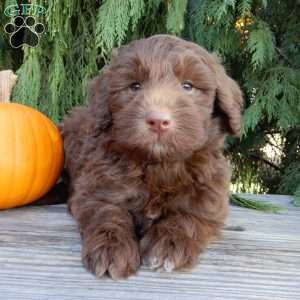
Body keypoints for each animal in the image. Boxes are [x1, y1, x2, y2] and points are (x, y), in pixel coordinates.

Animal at [61, 34, 244, 278]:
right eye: (134, 86)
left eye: (188, 86)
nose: (158, 120)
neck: (159, 165)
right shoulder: (94, 188)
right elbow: (107, 212)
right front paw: (111, 249)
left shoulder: (209, 198)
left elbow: (188, 217)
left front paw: (169, 246)